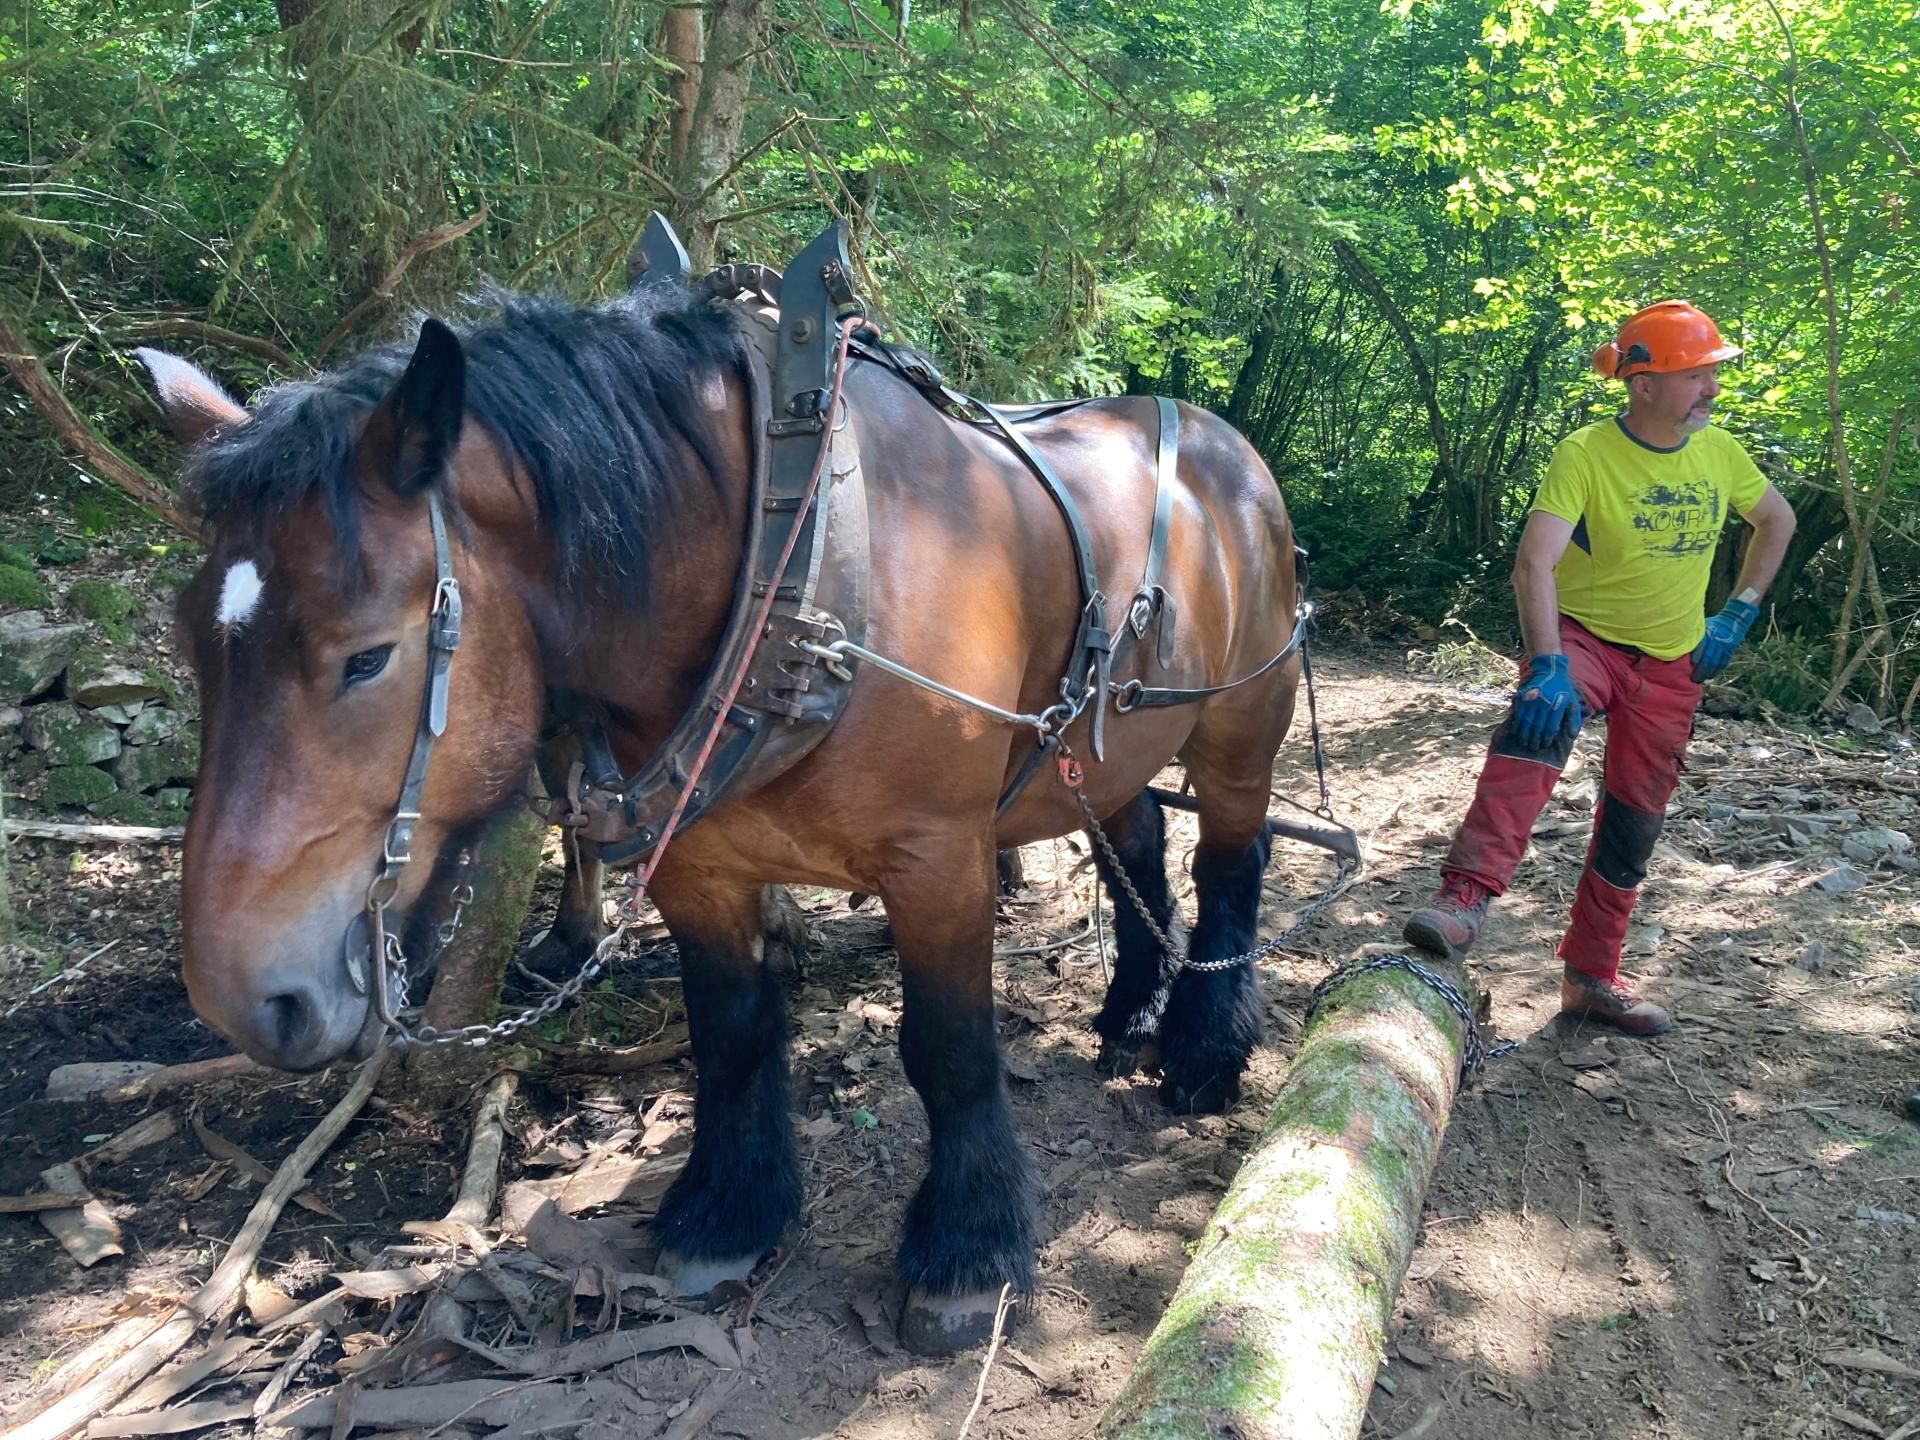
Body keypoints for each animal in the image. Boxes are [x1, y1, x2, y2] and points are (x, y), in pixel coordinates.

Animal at [139, 282, 1305, 1351]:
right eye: (195, 644)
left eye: (367, 657)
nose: (244, 999)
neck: (797, 562)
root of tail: (1221, 446)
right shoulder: (698, 863)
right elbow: (734, 1039)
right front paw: (727, 1217)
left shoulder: (940, 861)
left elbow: (950, 1050)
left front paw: (967, 1254)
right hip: (1106, 750)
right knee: (1138, 846)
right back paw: (1132, 1012)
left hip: (1243, 725)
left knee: (1228, 865)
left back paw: (1203, 1049)